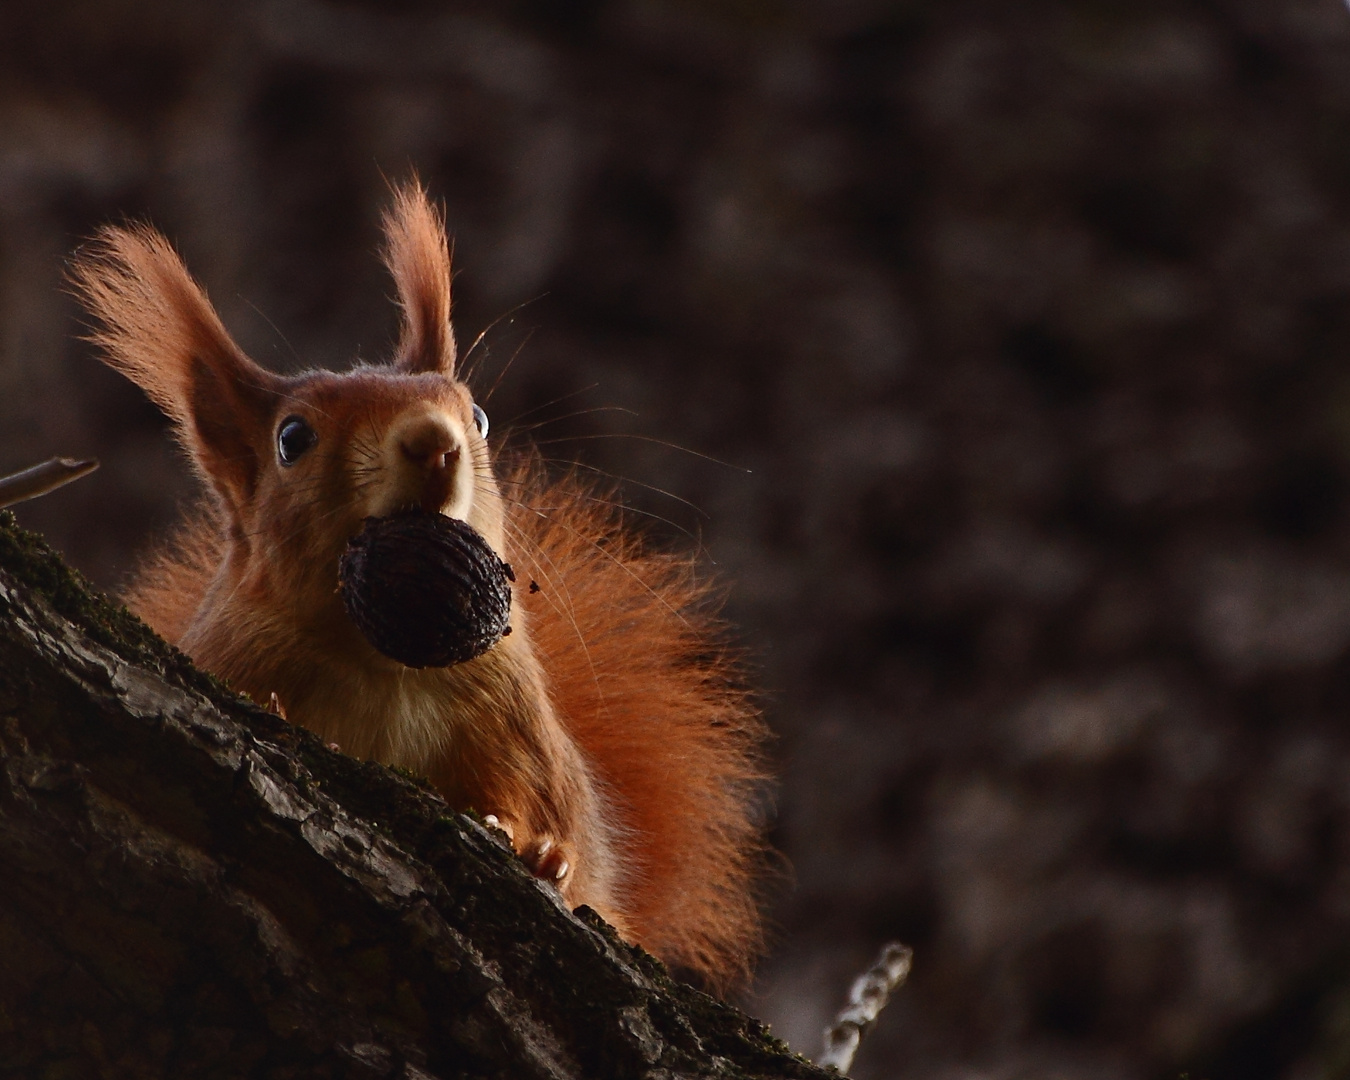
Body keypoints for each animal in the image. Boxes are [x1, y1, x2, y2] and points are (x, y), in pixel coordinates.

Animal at [71, 180, 772, 993]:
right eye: (291, 440)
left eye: (479, 415)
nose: (435, 441)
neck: (387, 664)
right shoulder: (229, 658)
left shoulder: (512, 723)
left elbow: (555, 829)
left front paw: (546, 857)